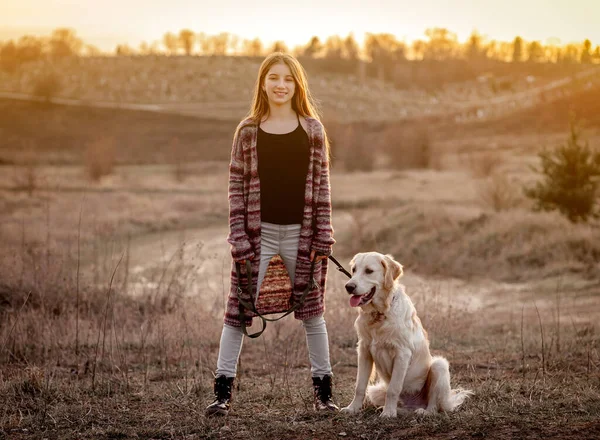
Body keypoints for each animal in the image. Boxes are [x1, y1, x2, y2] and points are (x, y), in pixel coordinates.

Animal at [340, 253, 472, 418]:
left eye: (369, 271)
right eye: (354, 269)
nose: (349, 287)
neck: (380, 314)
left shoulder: (402, 353)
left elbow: (393, 389)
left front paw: (388, 413)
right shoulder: (364, 350)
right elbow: (360, 386)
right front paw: (353, 408)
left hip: (439, 366)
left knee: (434, 405)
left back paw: (424, 412)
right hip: (375, 390)